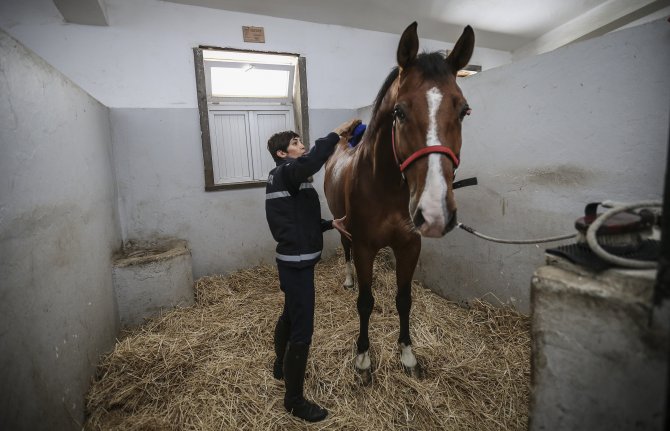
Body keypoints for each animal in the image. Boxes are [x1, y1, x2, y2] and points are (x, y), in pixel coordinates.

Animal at [326, 22, 478, 384]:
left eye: (464, 110)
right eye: (399, 111)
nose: (435, 213)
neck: (386, 189)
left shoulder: (410, 246)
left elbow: (404, 299)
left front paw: (408, 354)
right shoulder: (365, 246)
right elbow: (366, 302)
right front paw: (363, 357)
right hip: (342, 226)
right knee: (346, 251)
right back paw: (349, 279)